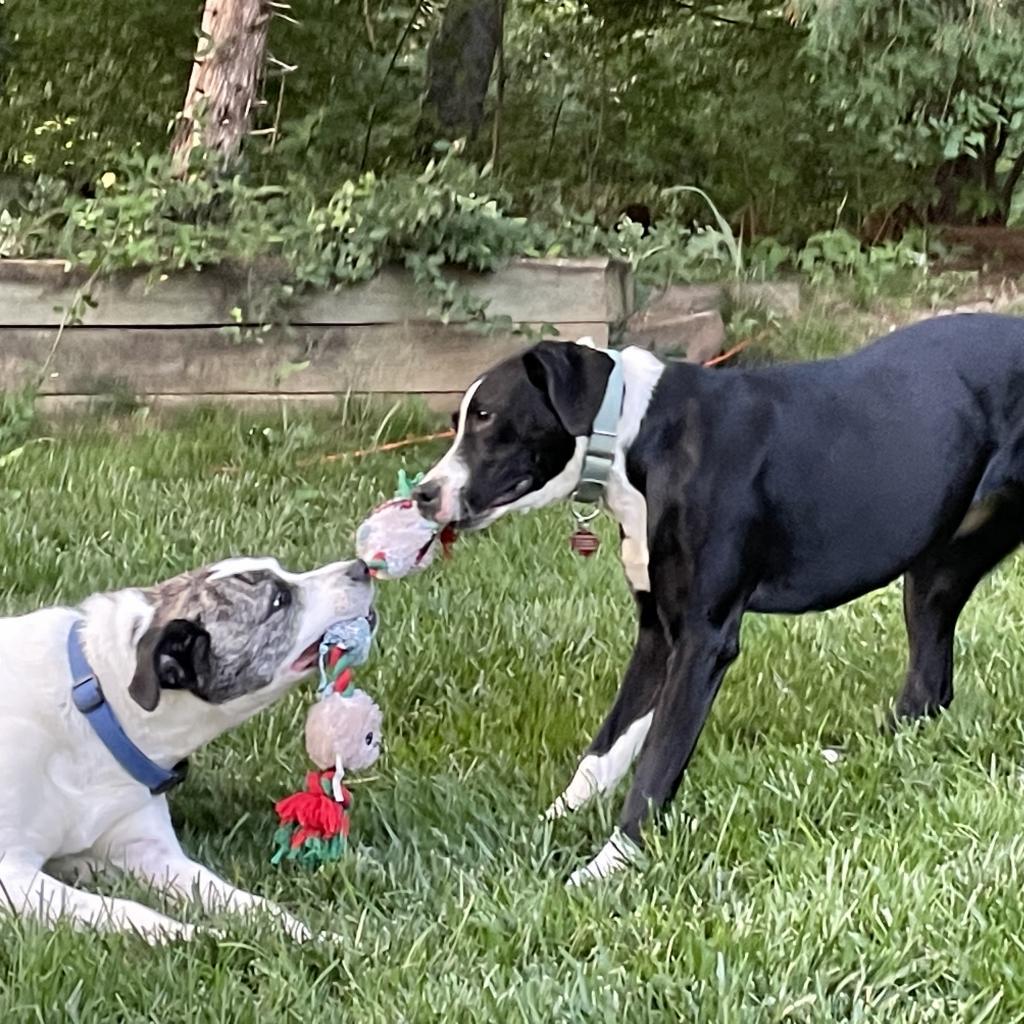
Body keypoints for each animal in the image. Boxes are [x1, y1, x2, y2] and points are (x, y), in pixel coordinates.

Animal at [0, 557, 376, 937]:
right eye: (278, 600)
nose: (360, 566)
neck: (99, 705)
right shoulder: (12, 875)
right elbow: (131, 911)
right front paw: (202, 937)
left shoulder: (148, 851)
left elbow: (244, 901)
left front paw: (310, 937)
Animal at [411, 313, 1024, 888]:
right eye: (458, 422)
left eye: (487, 418)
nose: (422, 493)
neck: (638, 435)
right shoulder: (658, 635)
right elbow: (605, 750)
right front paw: (547, 829)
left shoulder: (702, 642)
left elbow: (655, 767)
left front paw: (607, 866)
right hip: (937, 572)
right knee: (927, 688)